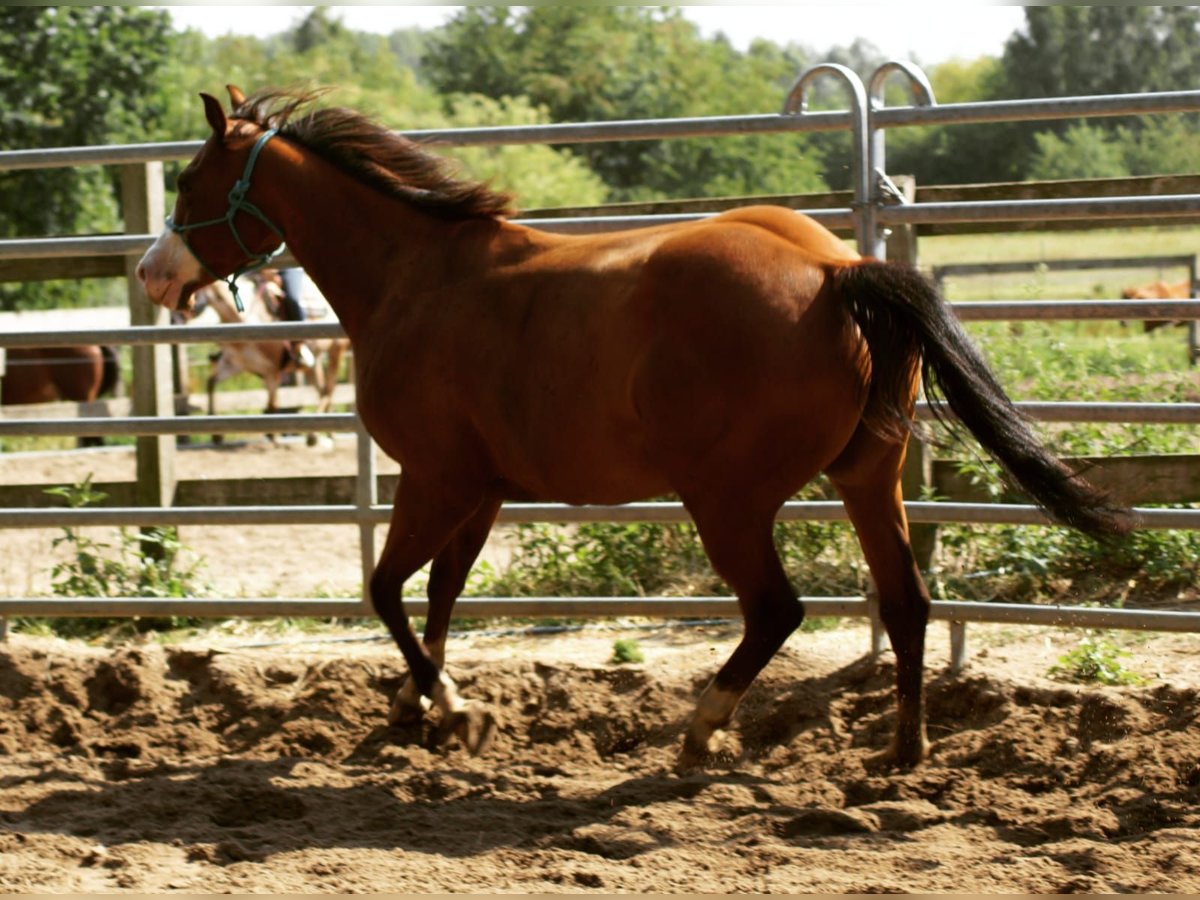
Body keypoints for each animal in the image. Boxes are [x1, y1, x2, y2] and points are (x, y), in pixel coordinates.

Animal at [136, 88, 1128, 772]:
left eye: (191, 180)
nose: (151, 271)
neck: (419, 278)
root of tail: (835, 270)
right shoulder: (480, 492)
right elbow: (441, 597)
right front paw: (417, 710)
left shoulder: (435, 478)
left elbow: (385, 592)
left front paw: (450, 710)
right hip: (865, 477)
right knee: (907, 601)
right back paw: (900, 751)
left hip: (728, 500)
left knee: (778, 610)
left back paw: (701, 731)